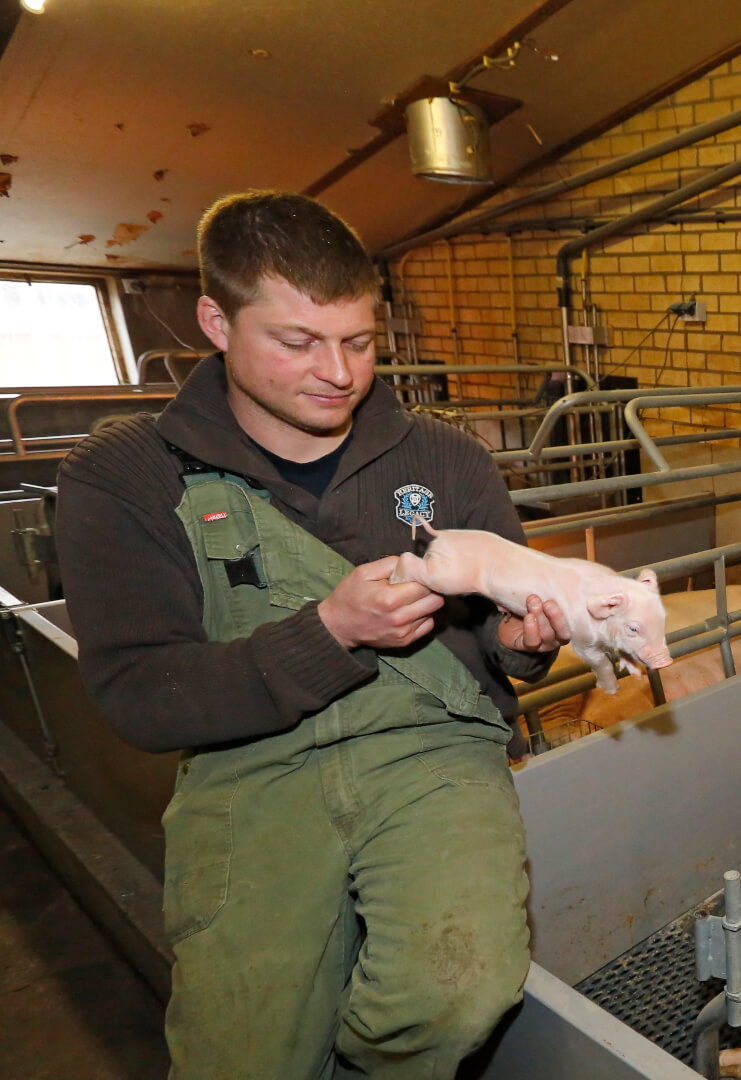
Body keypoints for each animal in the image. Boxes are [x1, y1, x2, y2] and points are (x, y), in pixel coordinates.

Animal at [391, 520, 672, 694]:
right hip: (448, 576)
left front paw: (636, 673)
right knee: (409, 559)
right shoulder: (581, 640)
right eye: (633, 628)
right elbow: (600, 663)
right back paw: (394, 579)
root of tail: (443, 535)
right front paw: (611, 690)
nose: (666, 661)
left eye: (663, 620)